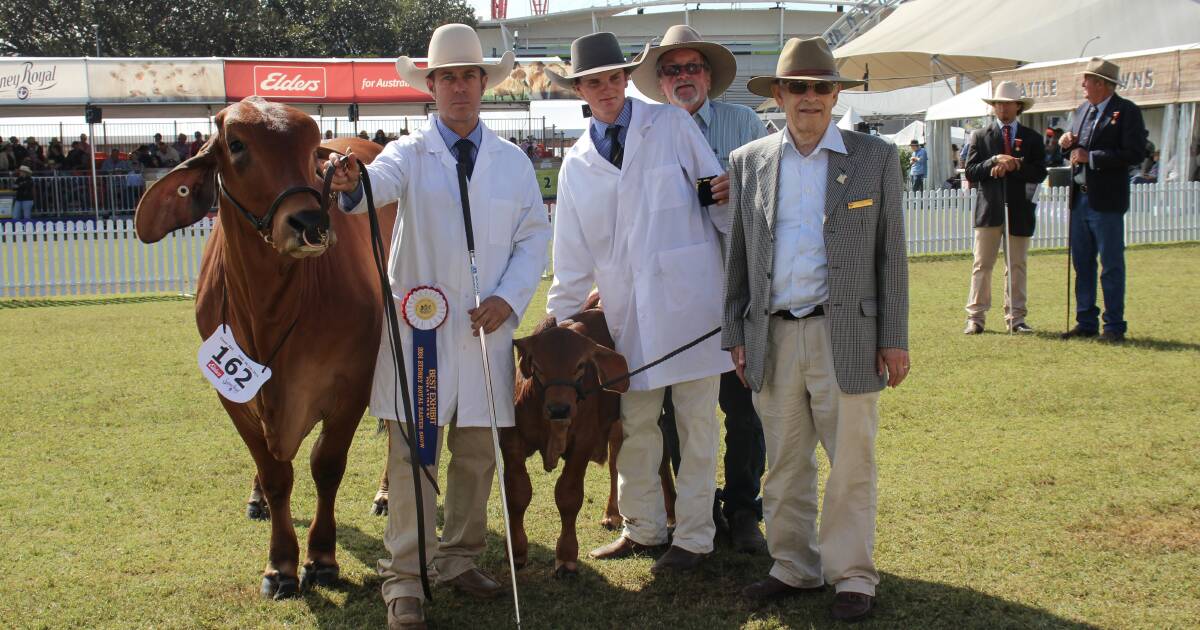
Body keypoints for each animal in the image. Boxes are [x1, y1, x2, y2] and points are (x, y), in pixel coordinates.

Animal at [135, 96, 398, 597]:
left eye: (313, 149)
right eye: (236, 144)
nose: (311, 223)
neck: (270, 307)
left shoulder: (353, 384)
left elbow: (326, 466)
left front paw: (321, 558)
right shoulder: (232, 394)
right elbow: (277, 475)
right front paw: (281, 565)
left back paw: (388, 493)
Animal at [499, 303, 628, 573]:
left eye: (580, 365)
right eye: (537, 366)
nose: (560, 409)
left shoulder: (583, 444)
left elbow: (568, 496)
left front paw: (567, 555)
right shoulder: (511, 441)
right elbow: (517, 493)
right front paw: (516, 550)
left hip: (618, 425)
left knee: (616, 466)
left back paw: (613, 513)